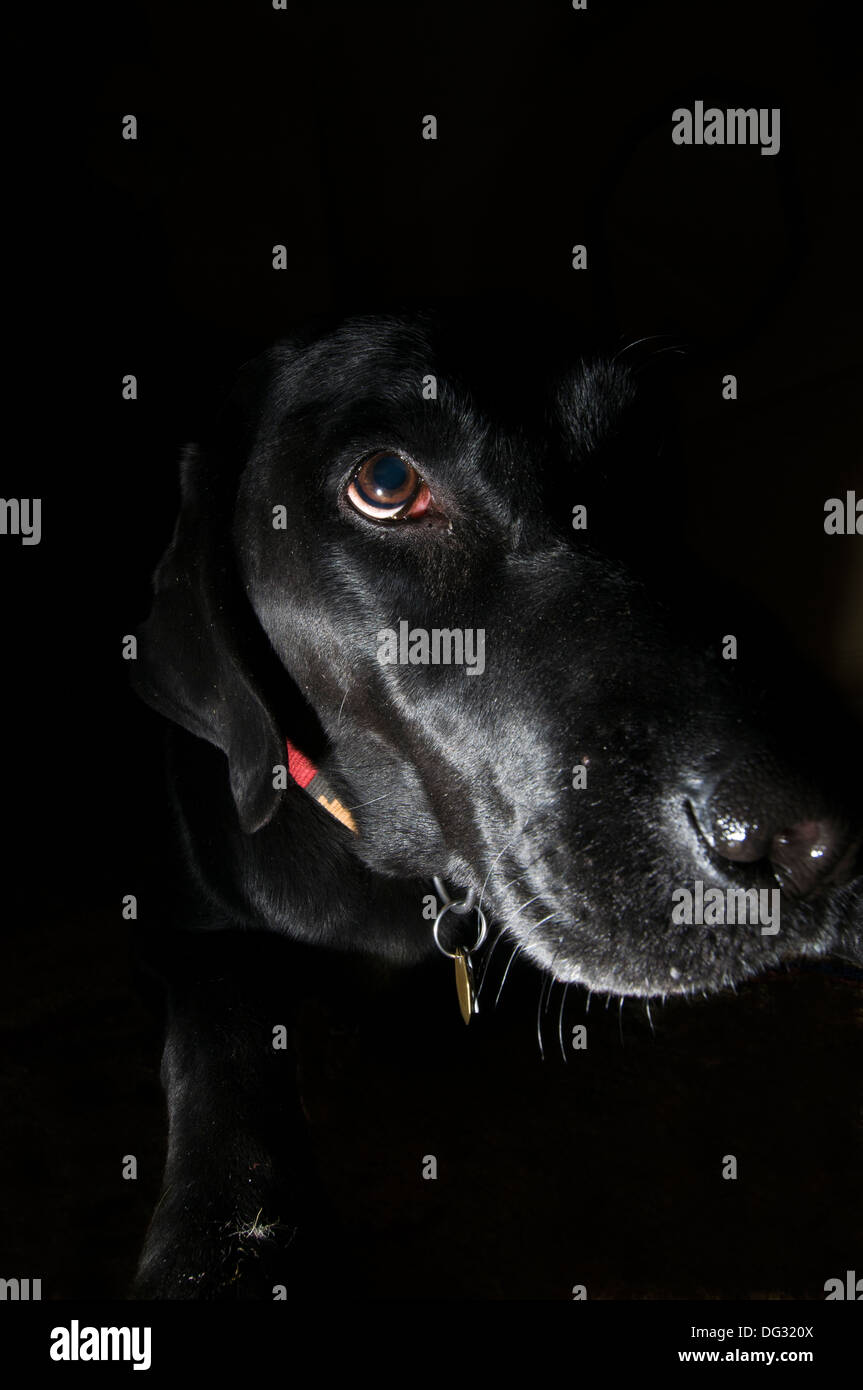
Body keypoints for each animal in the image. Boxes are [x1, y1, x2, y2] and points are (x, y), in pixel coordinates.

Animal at [129, 309, 861, 1295]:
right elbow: (224, 1024)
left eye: (649, 445)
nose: (808, 841)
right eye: (386, 482)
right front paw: (227, 1241)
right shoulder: (192, 925)